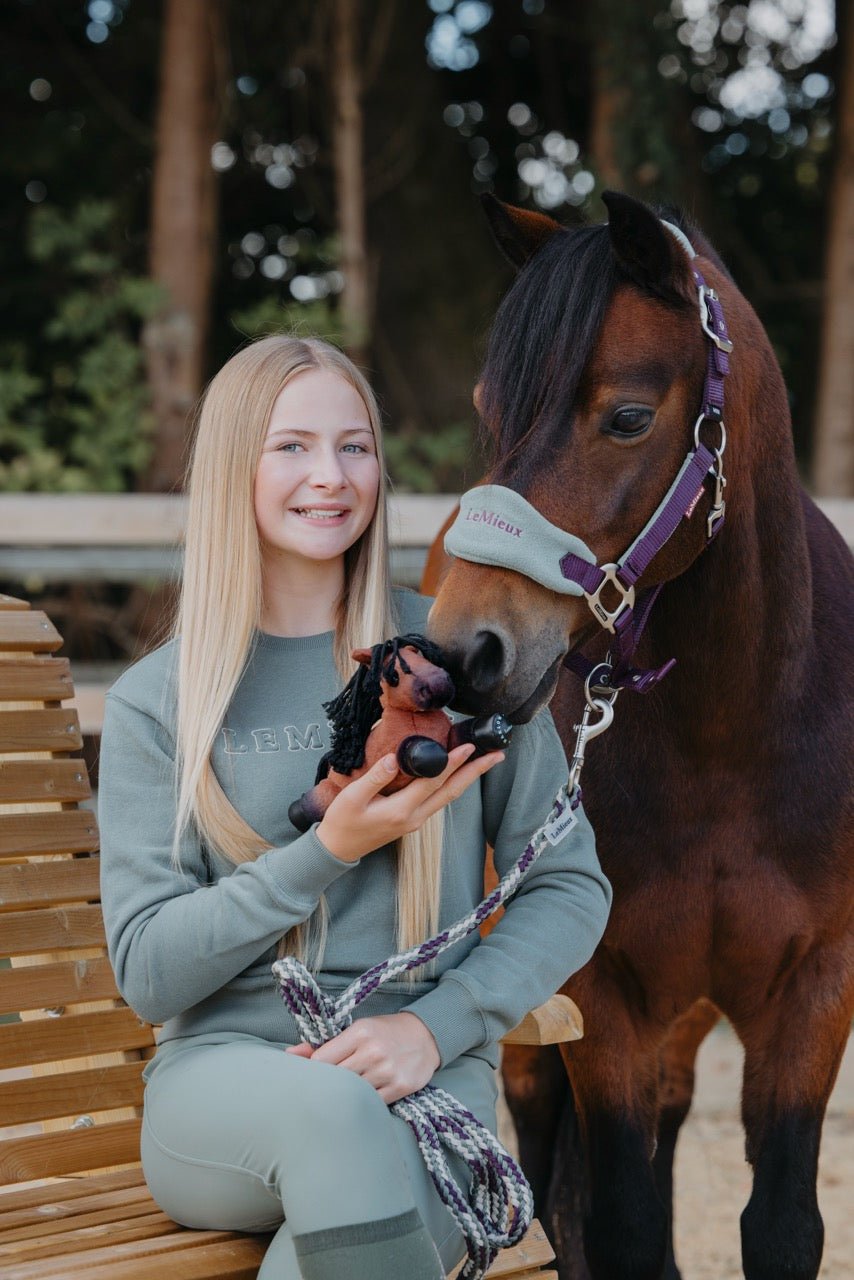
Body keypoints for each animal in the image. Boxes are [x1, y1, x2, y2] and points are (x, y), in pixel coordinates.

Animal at [423, 191, 854, 1280]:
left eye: (625, 416)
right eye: (490, 408)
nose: (463, 651)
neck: (731, 735)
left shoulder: (814, 991)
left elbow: (780, 1225)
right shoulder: (601, 995)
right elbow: (618, 1224)